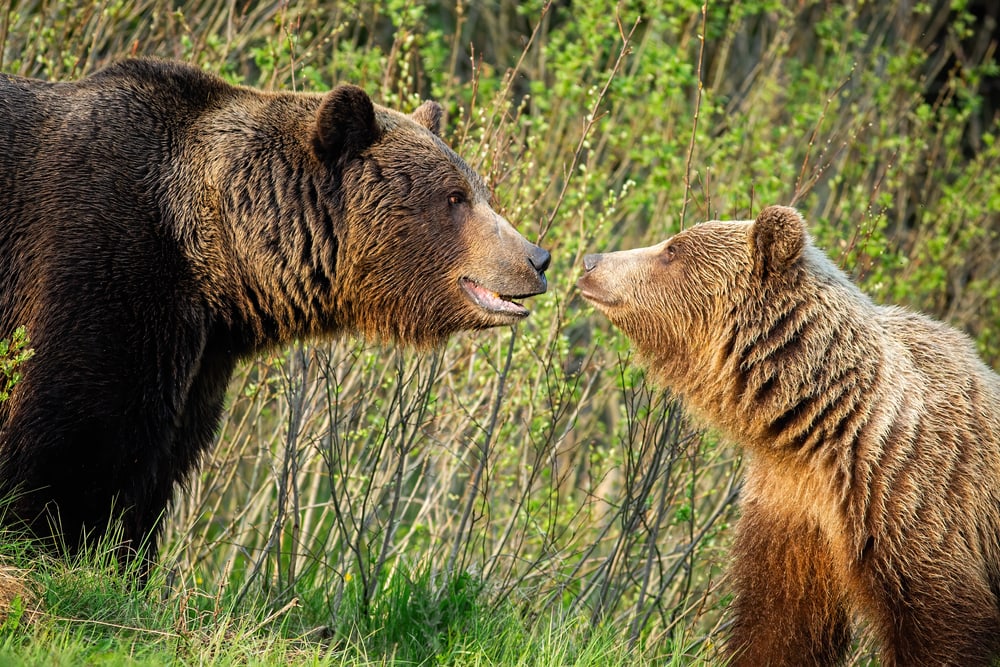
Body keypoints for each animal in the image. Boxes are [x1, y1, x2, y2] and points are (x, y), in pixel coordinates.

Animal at [0, 58, 550, 570]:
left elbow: (156, 468)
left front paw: (128, 564)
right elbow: (72, 443)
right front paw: (54, 549)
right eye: (454, 196)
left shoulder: (200, 354)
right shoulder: (102, 265)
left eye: (479, 190)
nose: (537, 258)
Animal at [578, 205, 1000, 666]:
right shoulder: (791, 506)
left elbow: (940, 628)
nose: (590, 262)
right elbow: (779, 625)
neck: (823, 423)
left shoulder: (914, 499)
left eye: (672, 250)